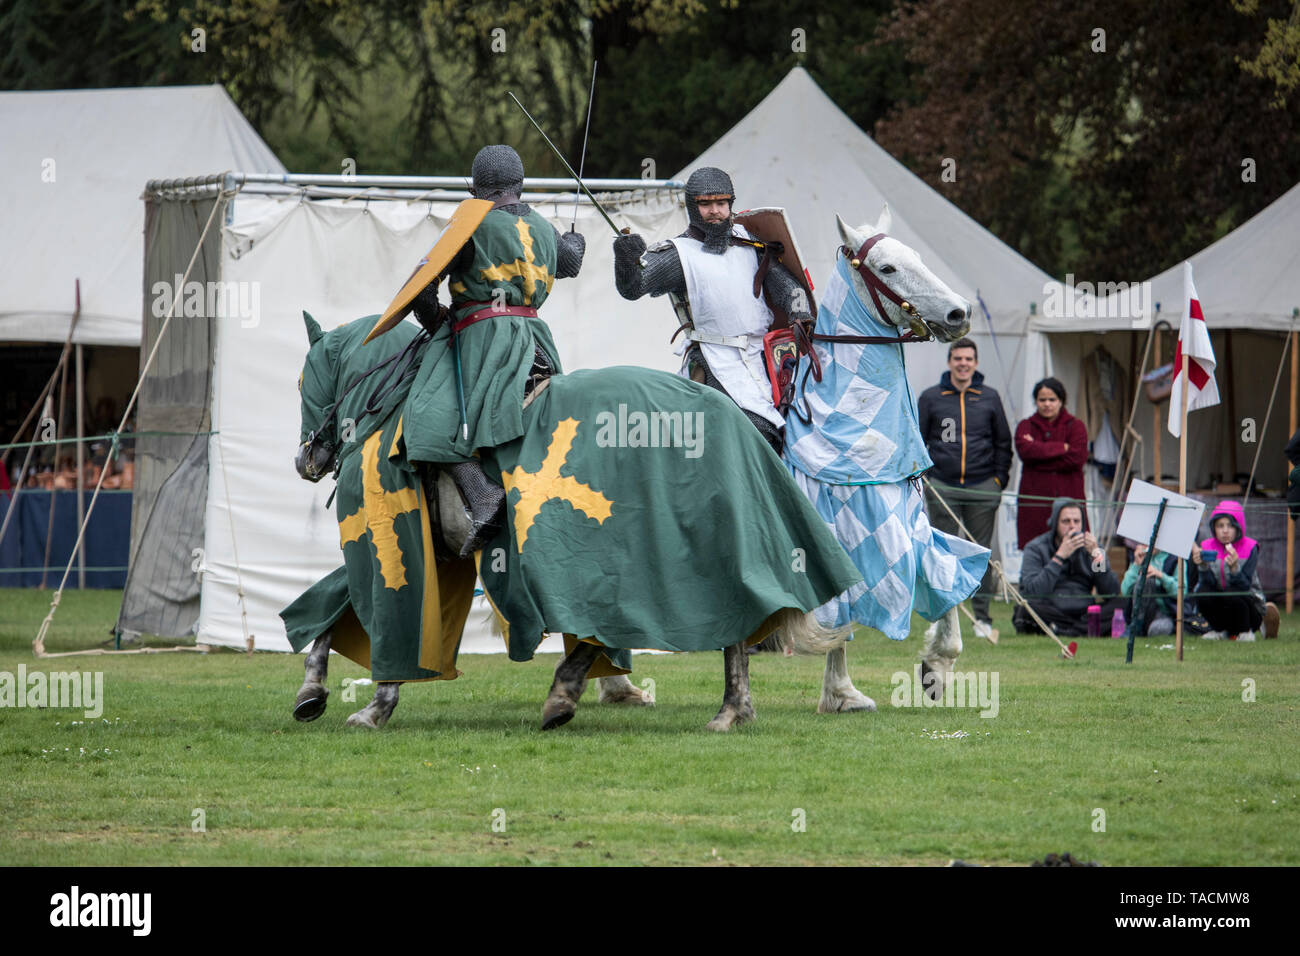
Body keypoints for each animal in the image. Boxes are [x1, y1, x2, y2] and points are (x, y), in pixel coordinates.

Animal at [780, 210, 982, 717]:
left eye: (918, 257)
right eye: (887, 268)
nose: (959, 314)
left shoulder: (905, 519)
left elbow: (944, 572)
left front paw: (936, 668)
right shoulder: (857, 535)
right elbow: (842, 615)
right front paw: (842, 693)